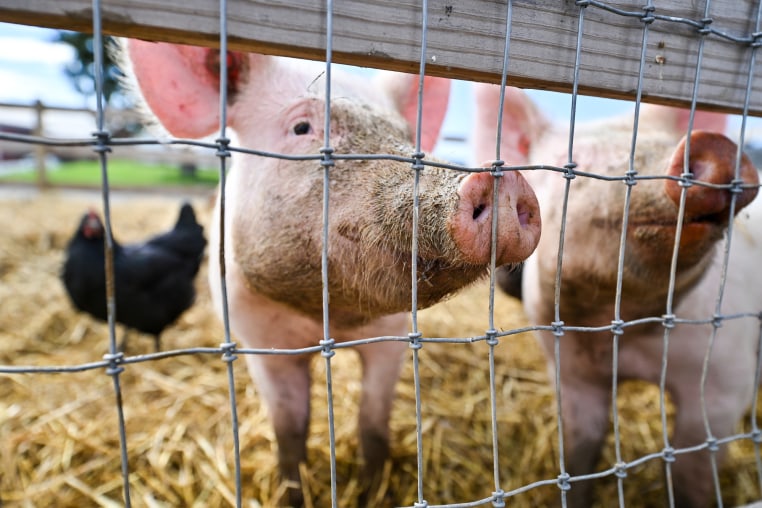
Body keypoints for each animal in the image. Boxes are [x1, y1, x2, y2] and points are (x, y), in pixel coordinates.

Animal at [124, 40, 540, 504]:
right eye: (302, 127)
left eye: (405, 136)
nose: (503, 180)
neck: (329, 317)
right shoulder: (258, 340)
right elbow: (289, 430)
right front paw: (293, 492)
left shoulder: (393, 336)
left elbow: (373, 423)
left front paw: (373, 490)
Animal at [472, 83, 756, 508]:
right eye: (574, 164)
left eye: (665, 142)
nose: (714, 145)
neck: (619, 330)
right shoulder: (571, 375)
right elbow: (580, 454)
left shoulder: (727, 380)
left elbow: (692, 477)